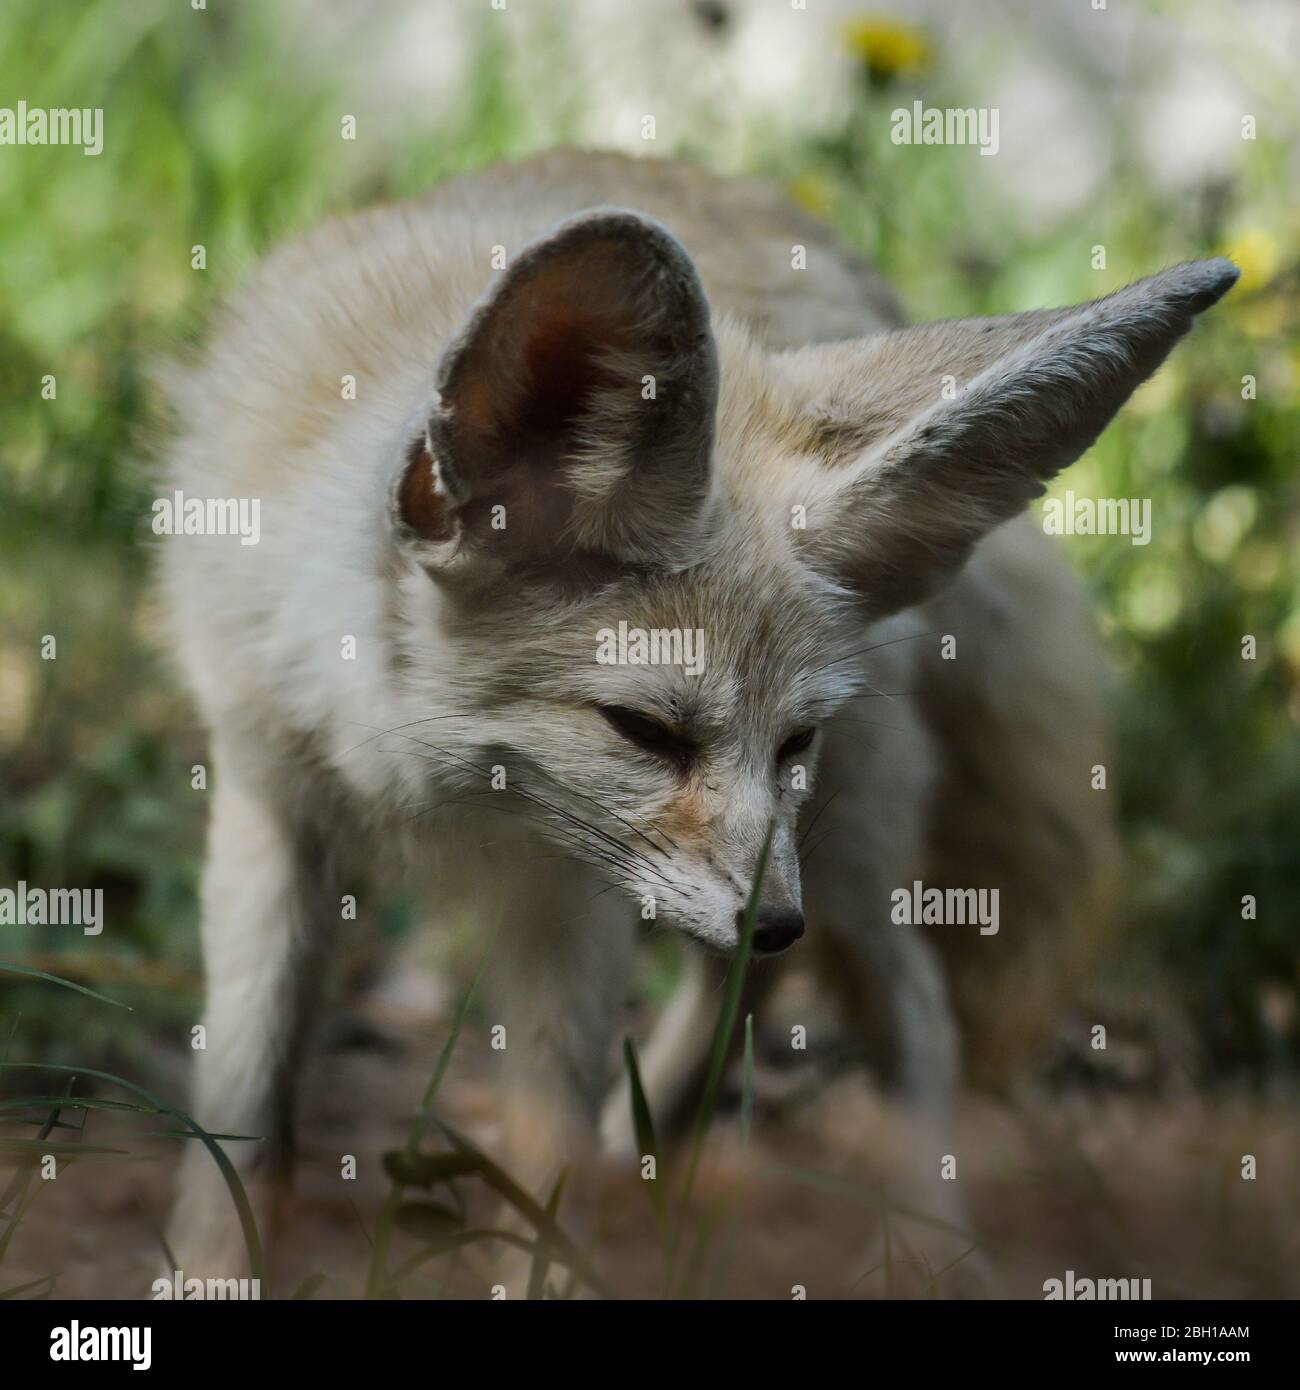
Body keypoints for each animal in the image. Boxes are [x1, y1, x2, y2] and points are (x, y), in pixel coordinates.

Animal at [160, 149, 1237, 1291]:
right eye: (644, 731)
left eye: (795, 738)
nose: (775, 923)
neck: (424, 785)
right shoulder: (269, 795)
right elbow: (244, 1093)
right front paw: (212, 1268)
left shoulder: (567, 888)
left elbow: (545, 1151)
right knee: (750, 993)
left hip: (848, 843)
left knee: (908, 1010)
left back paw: (926, 1249)